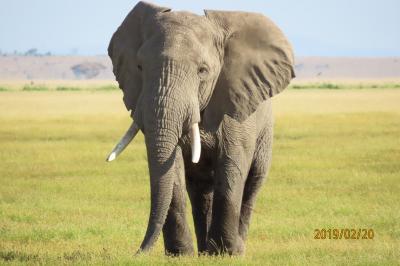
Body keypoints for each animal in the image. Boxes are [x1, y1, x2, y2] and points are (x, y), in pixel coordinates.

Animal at [105, 1, 294, 256]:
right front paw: (180, 255)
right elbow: (173, 169)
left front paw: (226, 253)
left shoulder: (235, 103)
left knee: (253, 182)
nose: (136, 253)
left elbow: (232, 164)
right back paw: (205, 251)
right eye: (140, 67)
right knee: (200, 190)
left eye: (203, 70)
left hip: (265, 131)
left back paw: (236, 248)